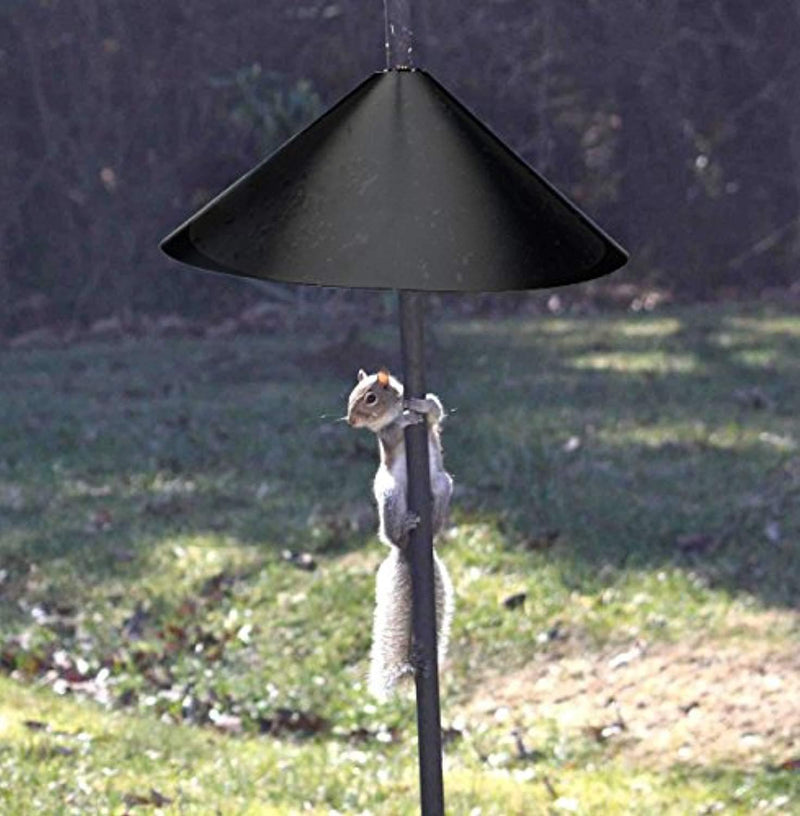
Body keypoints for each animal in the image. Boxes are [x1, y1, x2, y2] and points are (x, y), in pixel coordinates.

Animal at [347, 368, 454, 700]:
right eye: (351, 397)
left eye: (370, 397)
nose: (351, 421)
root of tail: (406, 550)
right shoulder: (386, 437)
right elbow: (393, 431)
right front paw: (404, 419)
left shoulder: (432, 419)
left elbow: (436, 411)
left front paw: (421, 407)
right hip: (390, 492)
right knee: (391, 535)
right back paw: (404, 529)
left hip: (443, 484)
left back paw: (431, 525)